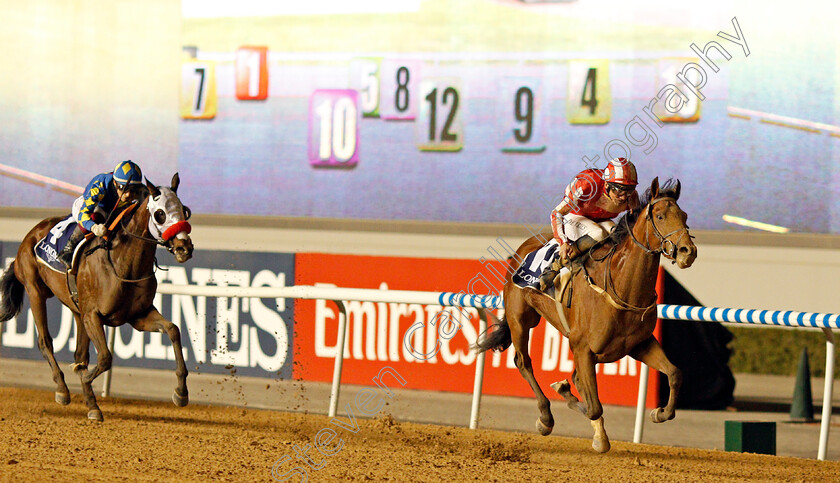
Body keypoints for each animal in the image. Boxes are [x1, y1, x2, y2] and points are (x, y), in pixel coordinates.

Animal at [0, 173, 192, 420]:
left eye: (185, 210)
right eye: (160, 214)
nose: (184, 248)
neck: (122, 262)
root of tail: (32, 234)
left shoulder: (138, 316)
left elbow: (173, 329)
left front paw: (181, 392)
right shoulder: (93, 315)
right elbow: (105, 358)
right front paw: (83, 383)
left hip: (76, 307)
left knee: (80, 353)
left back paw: (90, 403)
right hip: (35, 291)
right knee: (45, 342)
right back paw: (62, 390)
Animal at [476, 178, 700, 454]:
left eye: (684, 216)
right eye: (659, 216)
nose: (687, 251)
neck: (621, 285)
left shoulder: (640, 344)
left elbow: (675, 373)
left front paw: (659, 412)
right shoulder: (582, 348)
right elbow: (593, 406)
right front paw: (571, 402)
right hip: (520, 319)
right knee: (523, 361)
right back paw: (545, 417)